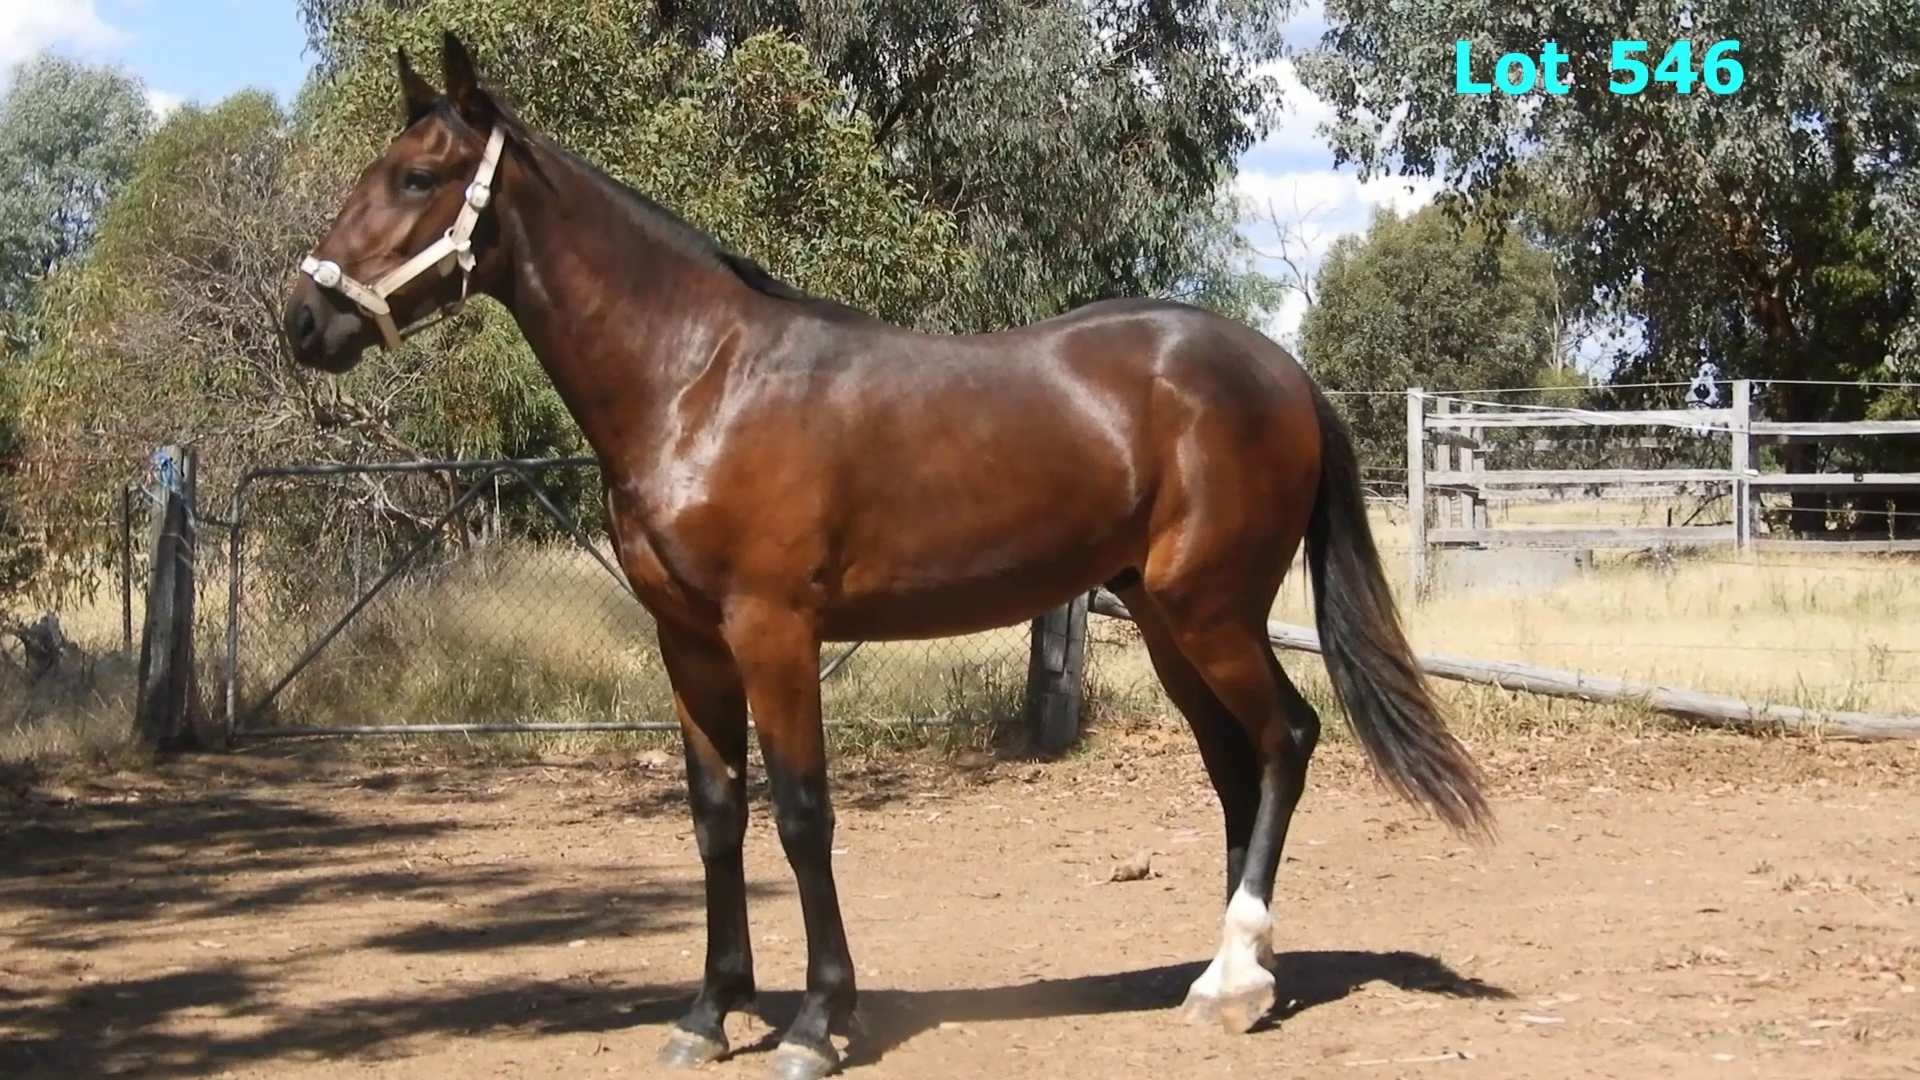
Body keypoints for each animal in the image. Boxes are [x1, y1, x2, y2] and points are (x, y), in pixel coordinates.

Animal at [281, 32, 1493, 1080]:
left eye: (418, 176)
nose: (303, 322)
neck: (700, 378)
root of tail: (1281, 370)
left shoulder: (773, 632)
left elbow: (802, 814)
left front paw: (818, 1022)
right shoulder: (688, 644)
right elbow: (717, 815)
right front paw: (709, 1014)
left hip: (1211, 609)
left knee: (1287, 739)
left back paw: (1233, 981)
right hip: (1163, 619)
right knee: (1237, 765)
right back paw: (1239, 972)